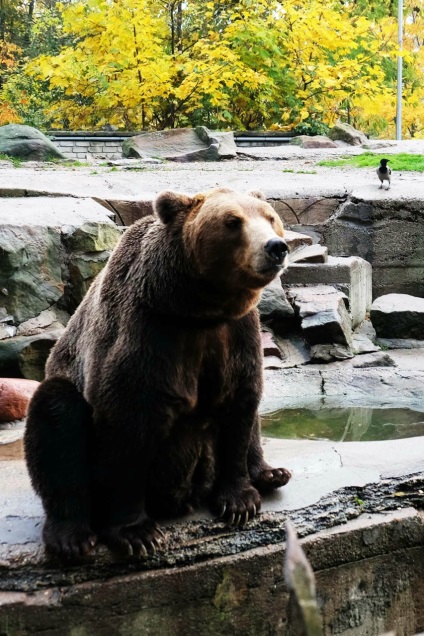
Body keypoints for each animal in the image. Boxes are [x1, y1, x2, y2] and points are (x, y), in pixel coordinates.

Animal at [24, 186, 292, 560]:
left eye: (270, 218)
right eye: (232, 221)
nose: (275, 247)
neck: (200, 308)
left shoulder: (236, 333)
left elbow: (240, 407)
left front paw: (239, 502)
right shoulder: (149, 330)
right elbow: (127, 425)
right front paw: (137, 533)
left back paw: (270, 473)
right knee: (57, 414)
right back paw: (71, 536)